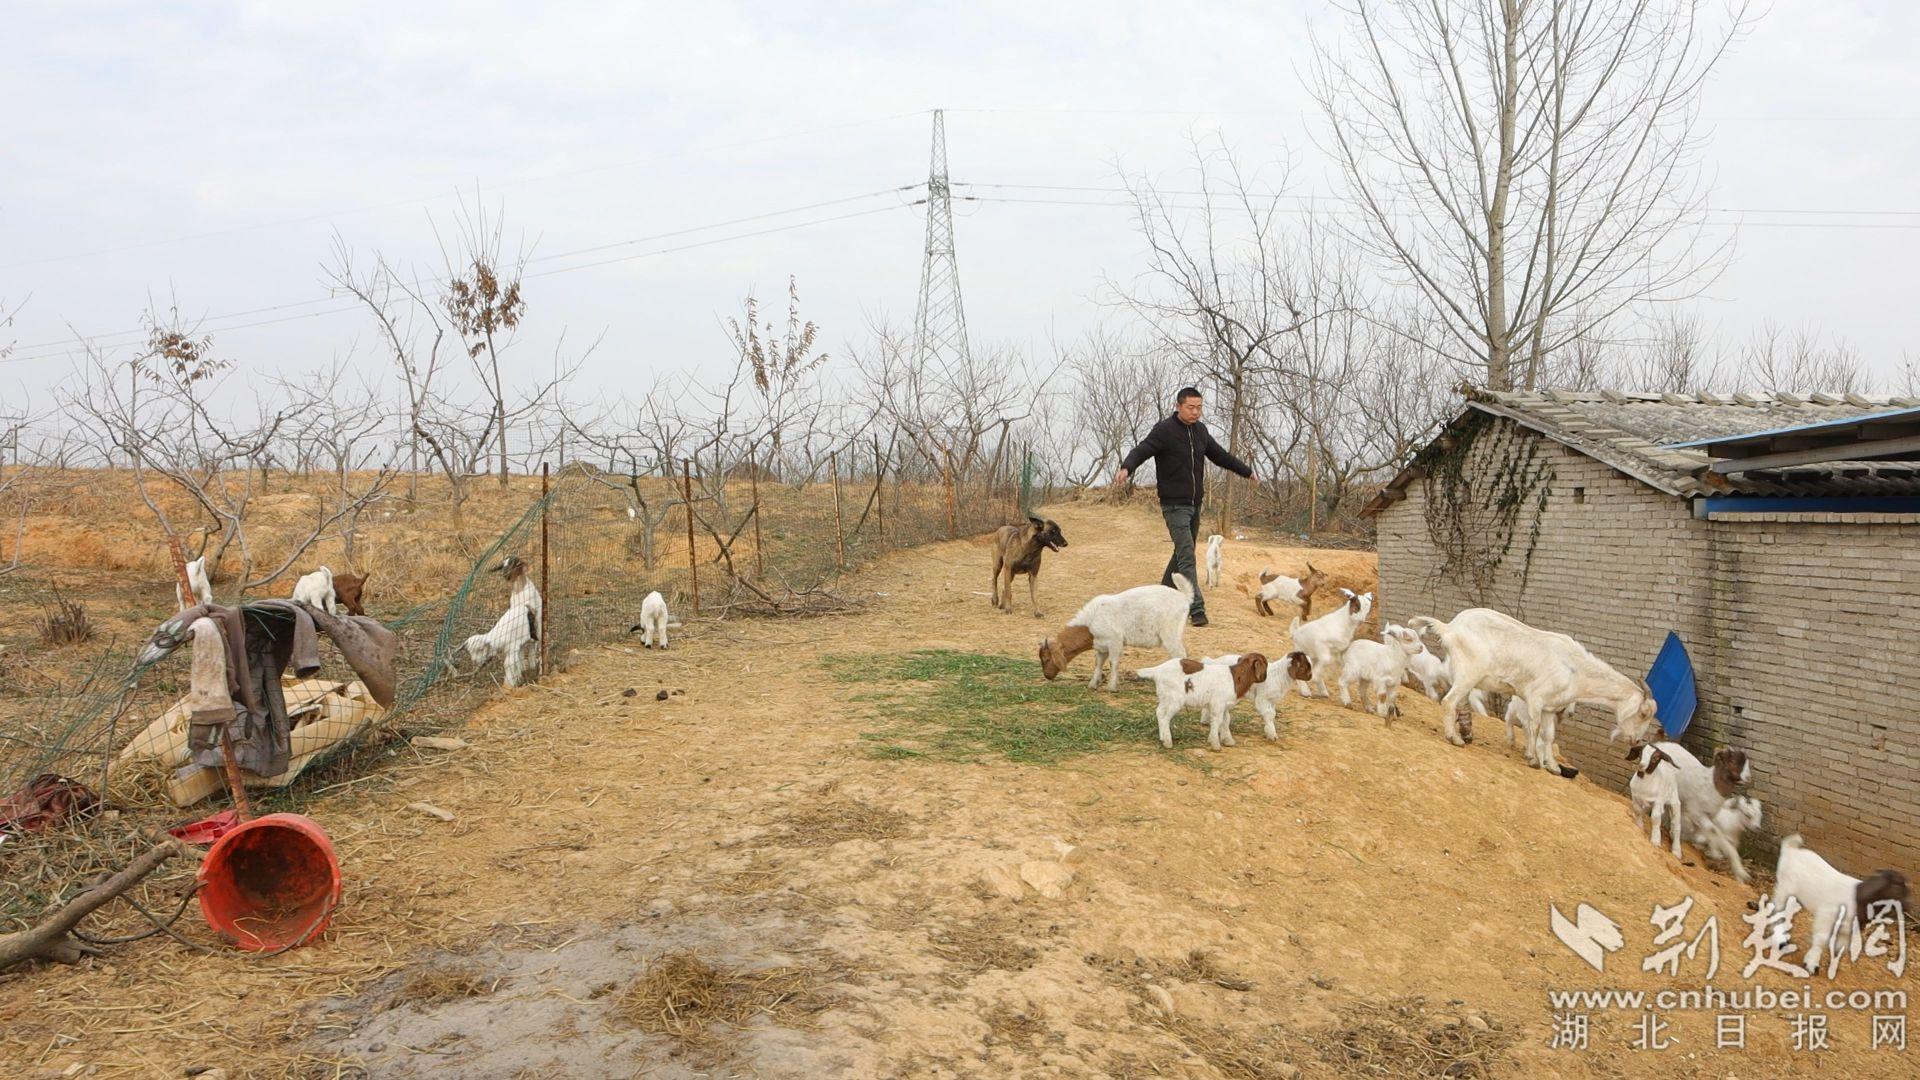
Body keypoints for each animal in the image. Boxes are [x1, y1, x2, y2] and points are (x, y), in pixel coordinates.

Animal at [1036, 572, 1182, 687]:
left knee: (1180, 655)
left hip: (1171, 634)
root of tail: (1183, 598)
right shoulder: (1102, 646)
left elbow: (1113, 662)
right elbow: (1098, 663)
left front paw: (1112, 687)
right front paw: (1093, 684)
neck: (1091, 622)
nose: (1047, 676)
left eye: (1046, 659)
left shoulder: (1115, 642)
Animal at [1128, 645, 1267, 749]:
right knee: (1164, 716)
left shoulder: (1225, 706)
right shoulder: (1218, 704)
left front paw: (1228, 741)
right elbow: (1217, 721)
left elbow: (1226, 721)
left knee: (1159, 712)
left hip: (1165, 697)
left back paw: (1162, 738)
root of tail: (1157, 670)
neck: (1235, 677)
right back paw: (1167, 742)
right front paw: (1215, 744)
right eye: (1265, 664)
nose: (1265, 678)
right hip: (1175, 699)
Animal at [1405, 607, 1658, 772]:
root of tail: (1450, 628)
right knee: (1449, 701)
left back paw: (1466, 734)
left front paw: (1553, 766)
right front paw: (1534, 760)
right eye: (1643, 713)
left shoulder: (1549, 708)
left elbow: (1549, 735)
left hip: (1460, 672)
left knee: (1461, 702)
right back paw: (1454, 738)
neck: (1576, 671)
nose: (1636, 740)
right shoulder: (1536, 699)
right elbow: (1534, 728)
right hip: (1469, 672)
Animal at [1766, 834, 1904, 968]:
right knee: (1778, 909)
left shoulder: (1848, 928)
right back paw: (1780, 940)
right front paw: (1811, 964)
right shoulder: (1826, 915)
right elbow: (1822, 939)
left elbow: (1841, 946)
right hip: (1784, 888)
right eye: (1897, 885)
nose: (1906, 905)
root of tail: (1791, 849)